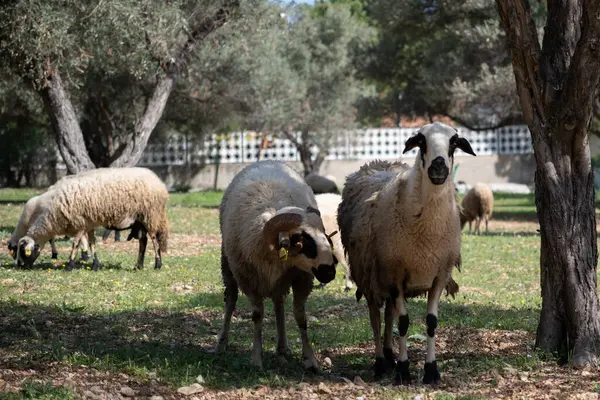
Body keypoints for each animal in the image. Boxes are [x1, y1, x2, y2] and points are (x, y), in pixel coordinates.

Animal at [15, 167, 169, 274]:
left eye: (23, 251)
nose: (21, 267)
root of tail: (159, 182)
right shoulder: (88, 225)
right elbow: (92, 243)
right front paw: (95, 265)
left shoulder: (80, 224)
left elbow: (75, 245)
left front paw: (69, 266)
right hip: (139, 221)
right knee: (143, 242)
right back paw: (138, 266)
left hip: (150, 215)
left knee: (154, 241)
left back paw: (157, 265)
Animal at [217, 159, 340, 368]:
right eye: (299, 242)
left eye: (325, 235)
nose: (329, 273)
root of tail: (267, 160)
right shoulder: (248, 280)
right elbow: (257, 315)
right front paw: (256, 358)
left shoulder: (302, 278)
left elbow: (300, 316)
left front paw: (310, 359)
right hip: (227, 264)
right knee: (231, 301)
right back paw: (222, 343)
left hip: (280, 282)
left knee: (278, 304)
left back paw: (282, 347)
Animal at [340, 122, 476, 384]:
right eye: (421, 141)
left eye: (454, 141)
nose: (438, 166)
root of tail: (377, 163)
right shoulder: (395, 273)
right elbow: (403, 323)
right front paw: (403, 371)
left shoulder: (439, 274)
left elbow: (431, 322)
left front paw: (431, 371)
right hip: (370, 274)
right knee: (375, 317)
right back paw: (380, 363)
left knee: (388, 314)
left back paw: (389, 354)